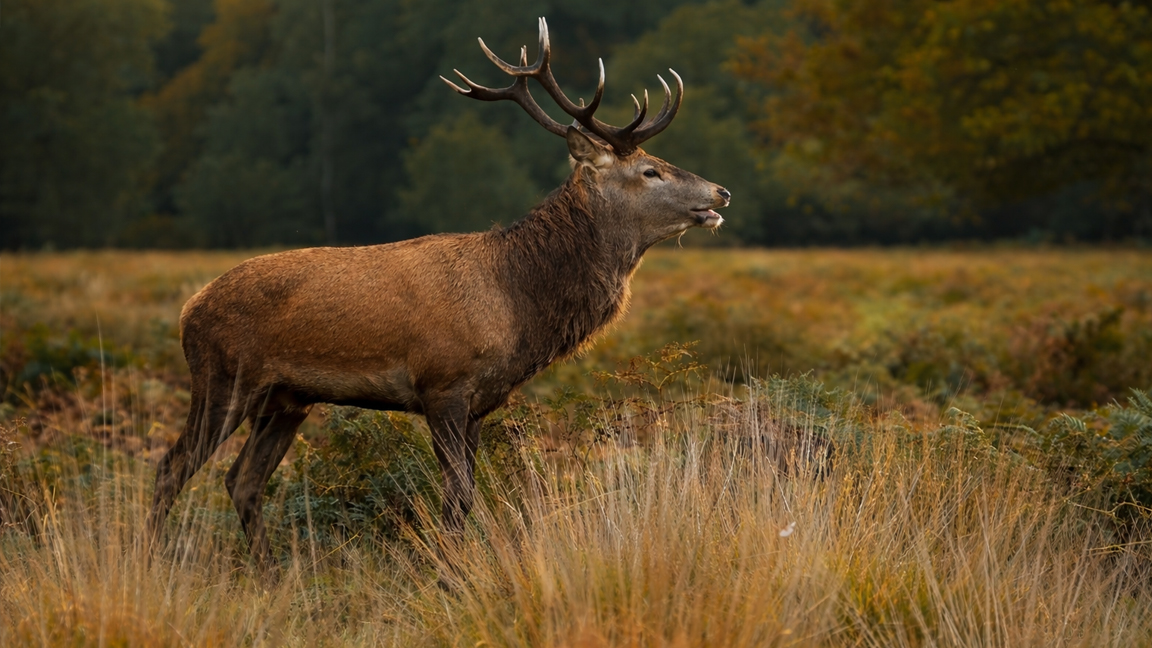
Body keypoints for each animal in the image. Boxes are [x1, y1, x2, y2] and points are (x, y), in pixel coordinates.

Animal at [145, 17, 730, 571]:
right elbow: (457, 495)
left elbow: (465, 497)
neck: (518, 304)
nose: (721, 191)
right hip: (224, 378)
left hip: (286, 399)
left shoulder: (479, 403)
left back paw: (270, 576)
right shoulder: (442, 384)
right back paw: (152, 561)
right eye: (650, 170)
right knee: (170, 469)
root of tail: (189, 310)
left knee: (242, 480)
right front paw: (449, 572)